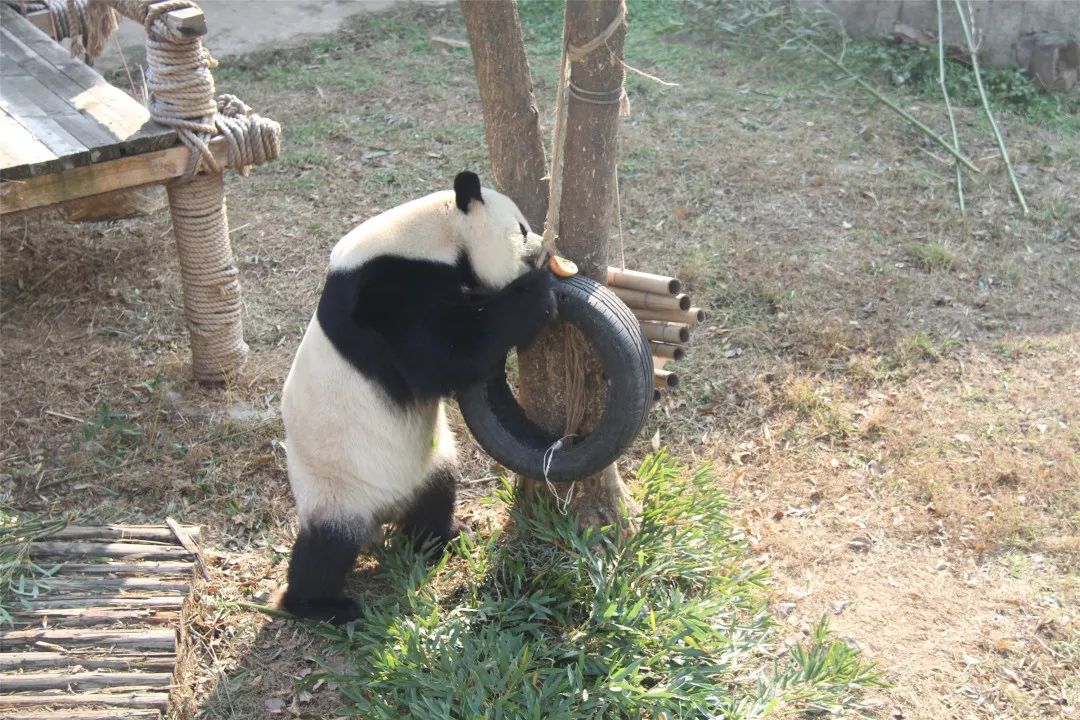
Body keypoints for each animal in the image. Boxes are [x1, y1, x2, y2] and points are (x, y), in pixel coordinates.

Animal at [274, 171, 561, 621]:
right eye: (521, 229)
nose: (539, 251)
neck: (432, 235)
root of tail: (383, 514)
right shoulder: (387, 294)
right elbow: (443, 357)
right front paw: (537, 292)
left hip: (431, 460)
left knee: (437, 495)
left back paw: (445, 536)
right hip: (337, 486)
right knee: (327, 546)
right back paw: (322, 604)